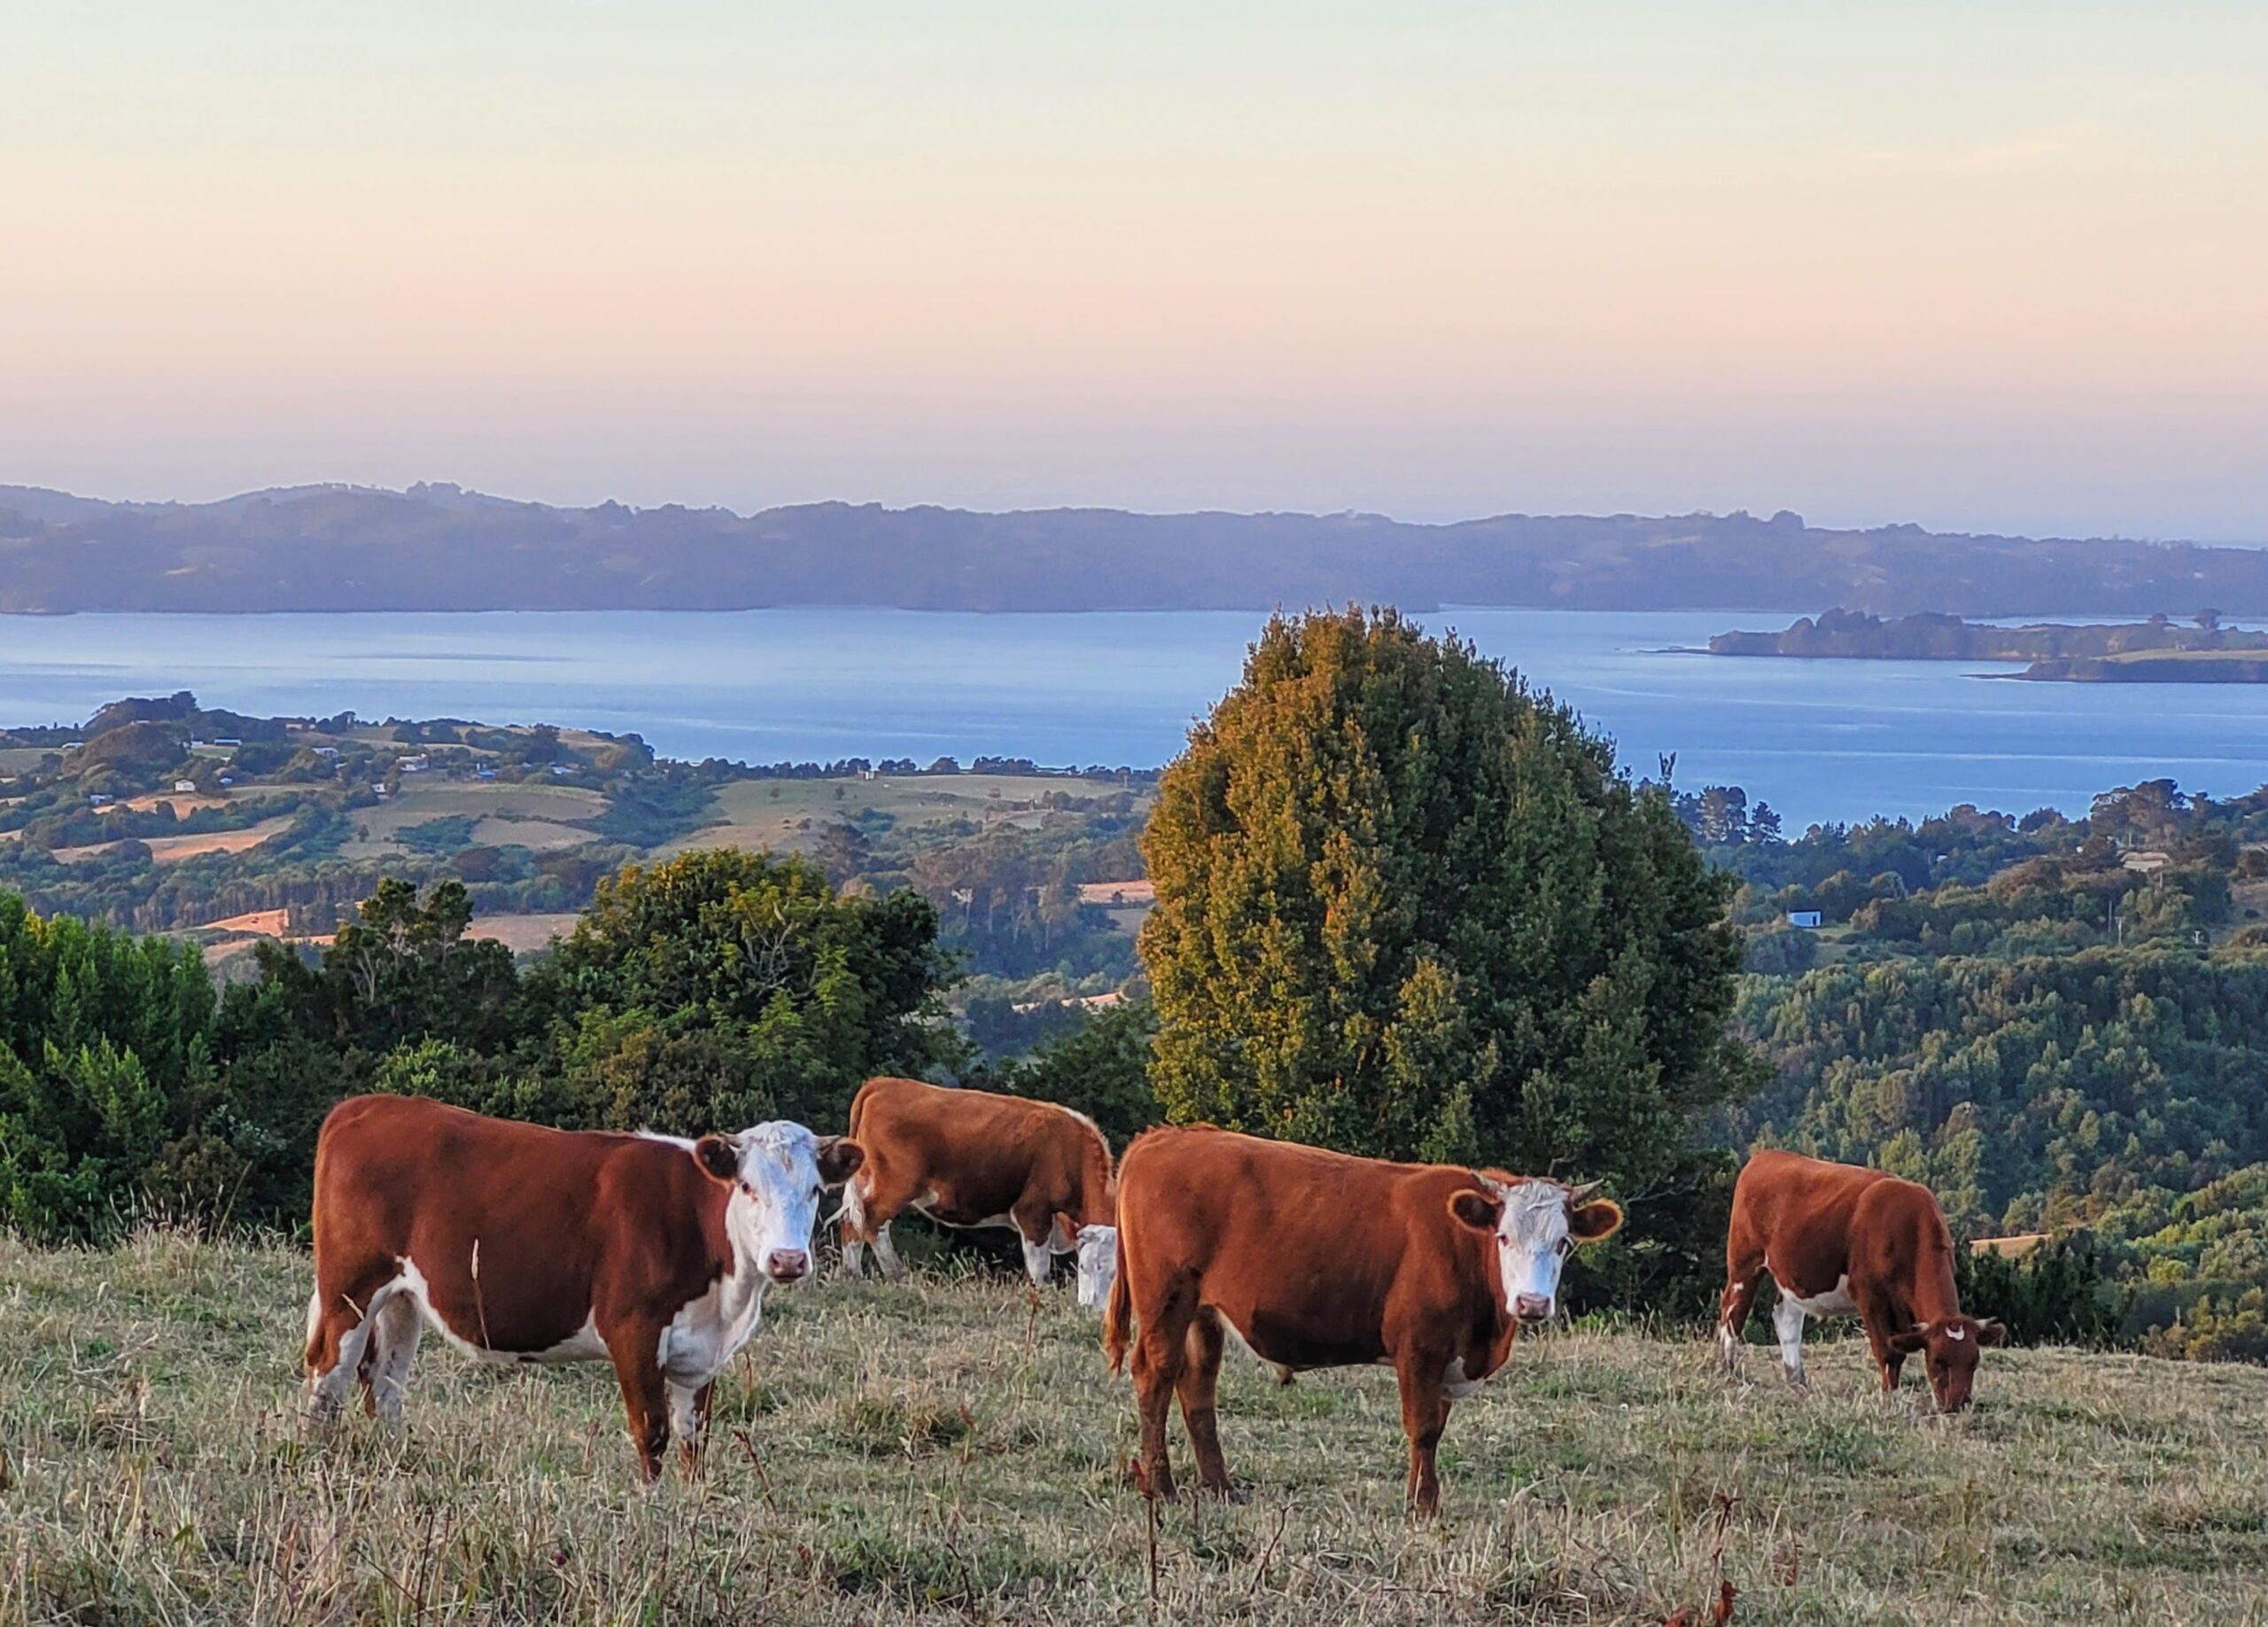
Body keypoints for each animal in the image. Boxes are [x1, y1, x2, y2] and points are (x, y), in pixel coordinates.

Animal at [306, 1098, 861, 1479]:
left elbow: (693, 1438)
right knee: (329, 1372)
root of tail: (367, 1105)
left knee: (384, 1380)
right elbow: (651, 1432)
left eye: (815, 1190)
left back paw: (394, 1457)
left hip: (402, 1296)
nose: (787, 1260)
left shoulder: (703, 1351)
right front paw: (652, 1511)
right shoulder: (632, 1332)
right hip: (350, 1287)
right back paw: (316, 1458)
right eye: (747, 1187)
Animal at [835, 1070, 1115, 1288]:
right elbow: (1039, 1268)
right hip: (896, 1183)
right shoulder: (1033, 1210)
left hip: (866, 1179)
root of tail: (882, 1084)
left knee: (851, 1221)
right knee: (872, 1220)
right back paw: (897, 1274)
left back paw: (852, 1275)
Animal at [1107, 1116, 1623, 1506]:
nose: (1532, 1304)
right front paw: (1422, 1507)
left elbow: (1437, 1428)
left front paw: (1426, 1500)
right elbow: (1423, 1429)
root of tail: (1166, 1136)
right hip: (1166, 1298)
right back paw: (1162, 1487)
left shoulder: (1448, 1359)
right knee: (1156, 1375)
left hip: (1202, 1310)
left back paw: (1221, 1488)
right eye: (1503, 1237)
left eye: (1563, 1242)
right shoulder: (1418, 1348)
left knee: (1197, 1385)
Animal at [1714, 1143, 2005, 1406]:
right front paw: (1889, 1400)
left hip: (1792, 1276)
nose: (1959, 1404)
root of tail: (1766, 1156)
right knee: (1733, 1312)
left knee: (1786, 1318)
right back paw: (1727, 1373)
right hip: (1744, 1262)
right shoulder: (1869, 1294)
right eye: (1937, 1361)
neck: (1910, 1229)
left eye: (1974, 1361)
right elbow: (1887, 1351)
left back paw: (1799, 1385)